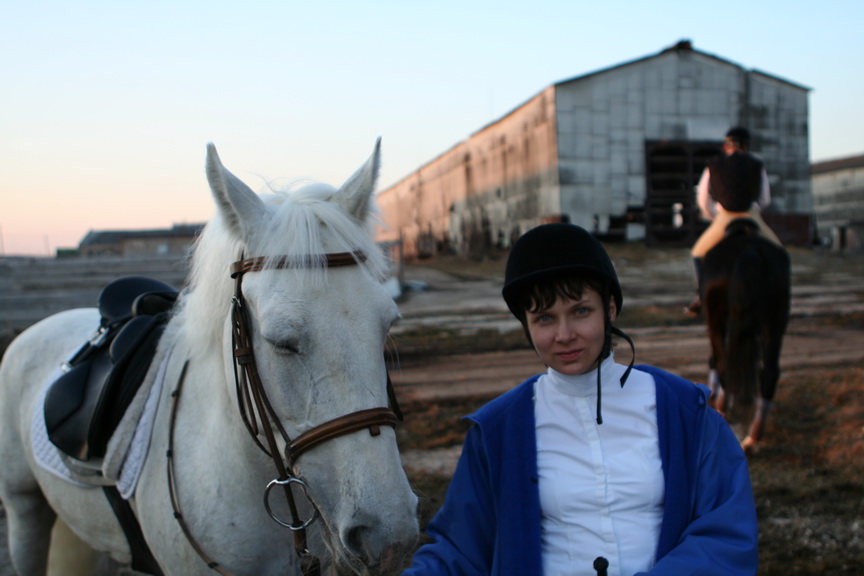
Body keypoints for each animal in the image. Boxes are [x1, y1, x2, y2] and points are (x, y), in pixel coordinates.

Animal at [701, 218, 791, 453]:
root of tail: (750, 251)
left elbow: (718, 360)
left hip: (718, 318)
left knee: (724, 363)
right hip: (775, 320)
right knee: (769, 373)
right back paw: (753, 437)